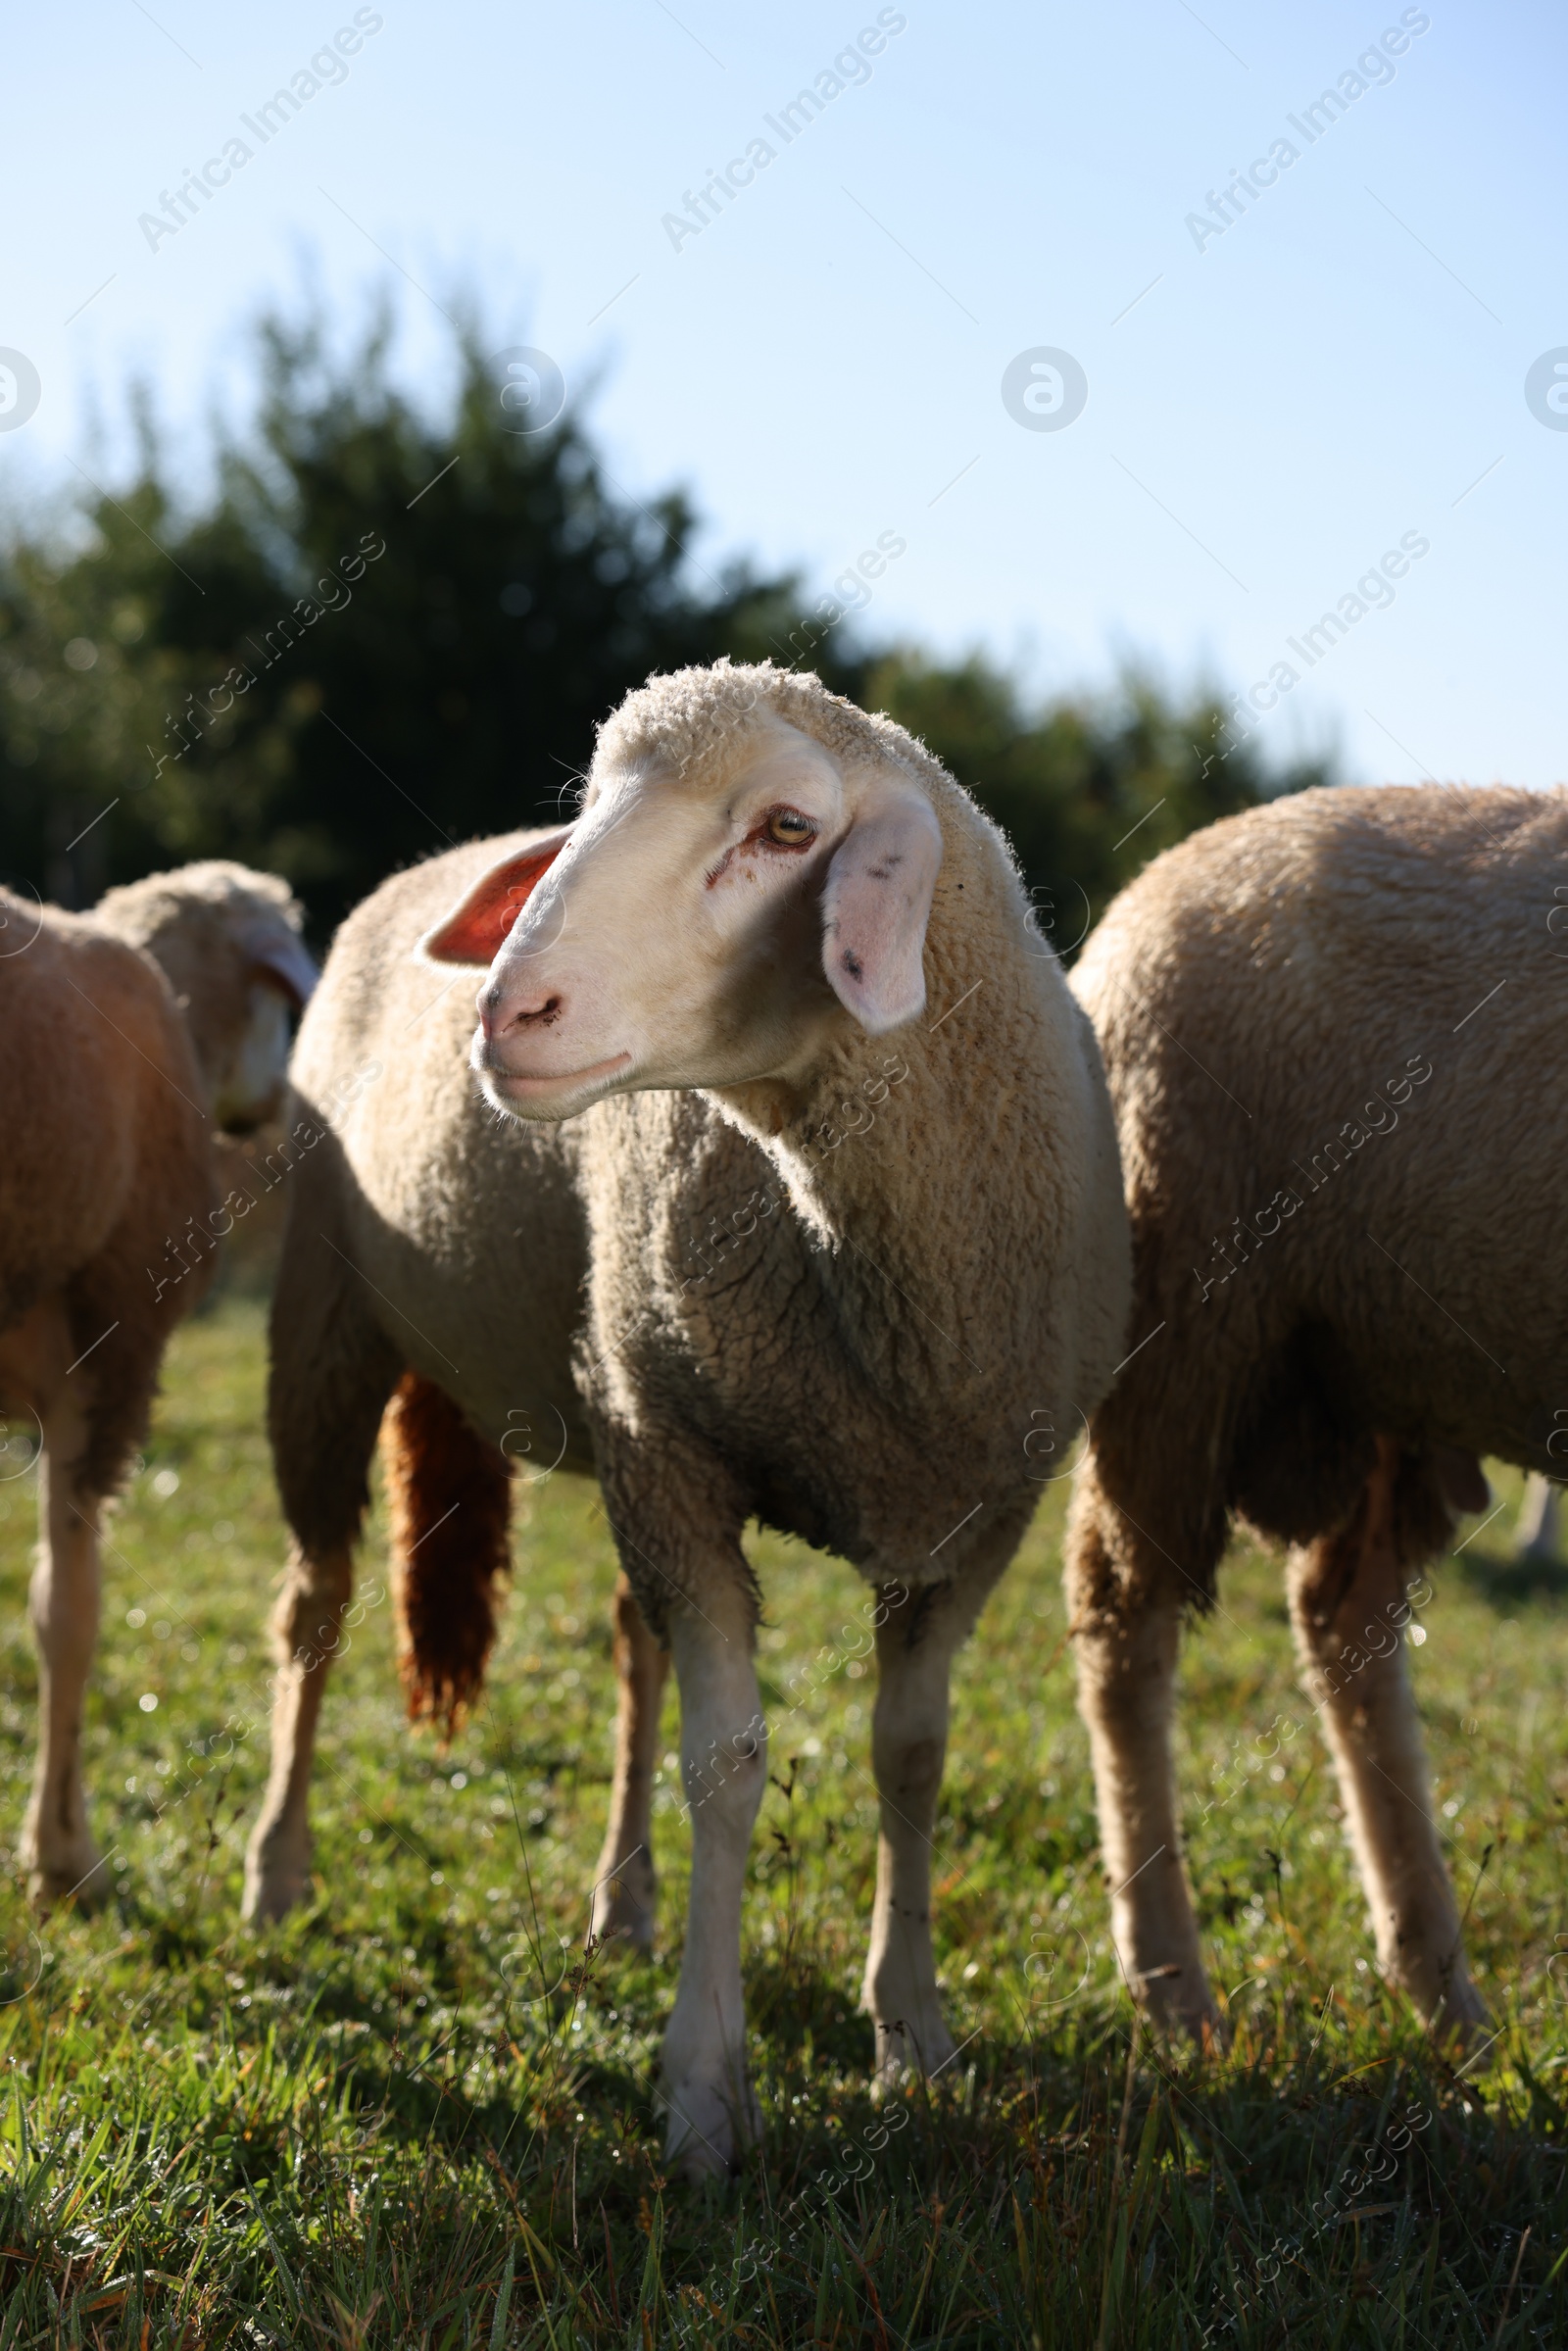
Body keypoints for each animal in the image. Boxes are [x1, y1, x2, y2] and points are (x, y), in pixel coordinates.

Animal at [242, 658, 1128, 2163]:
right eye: (591, 801)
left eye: (786, 827)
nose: (507, 1013)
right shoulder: (679, 1459)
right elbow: (728, 1762)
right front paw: (706, 2089)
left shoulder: (969, 1508)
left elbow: (910, 1752)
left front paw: (913, 2032)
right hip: (326, 1319)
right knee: (314, 1605)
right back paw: (277, 1871)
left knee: (627, 1646)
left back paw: (623, 1900)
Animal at [1067, 785, 1568, 2040]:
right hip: (1187, 1321)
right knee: (1121, 1625)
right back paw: (1170, 1983)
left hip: (1377, 1361)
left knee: (1344, 1622)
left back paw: (1435, 1981)